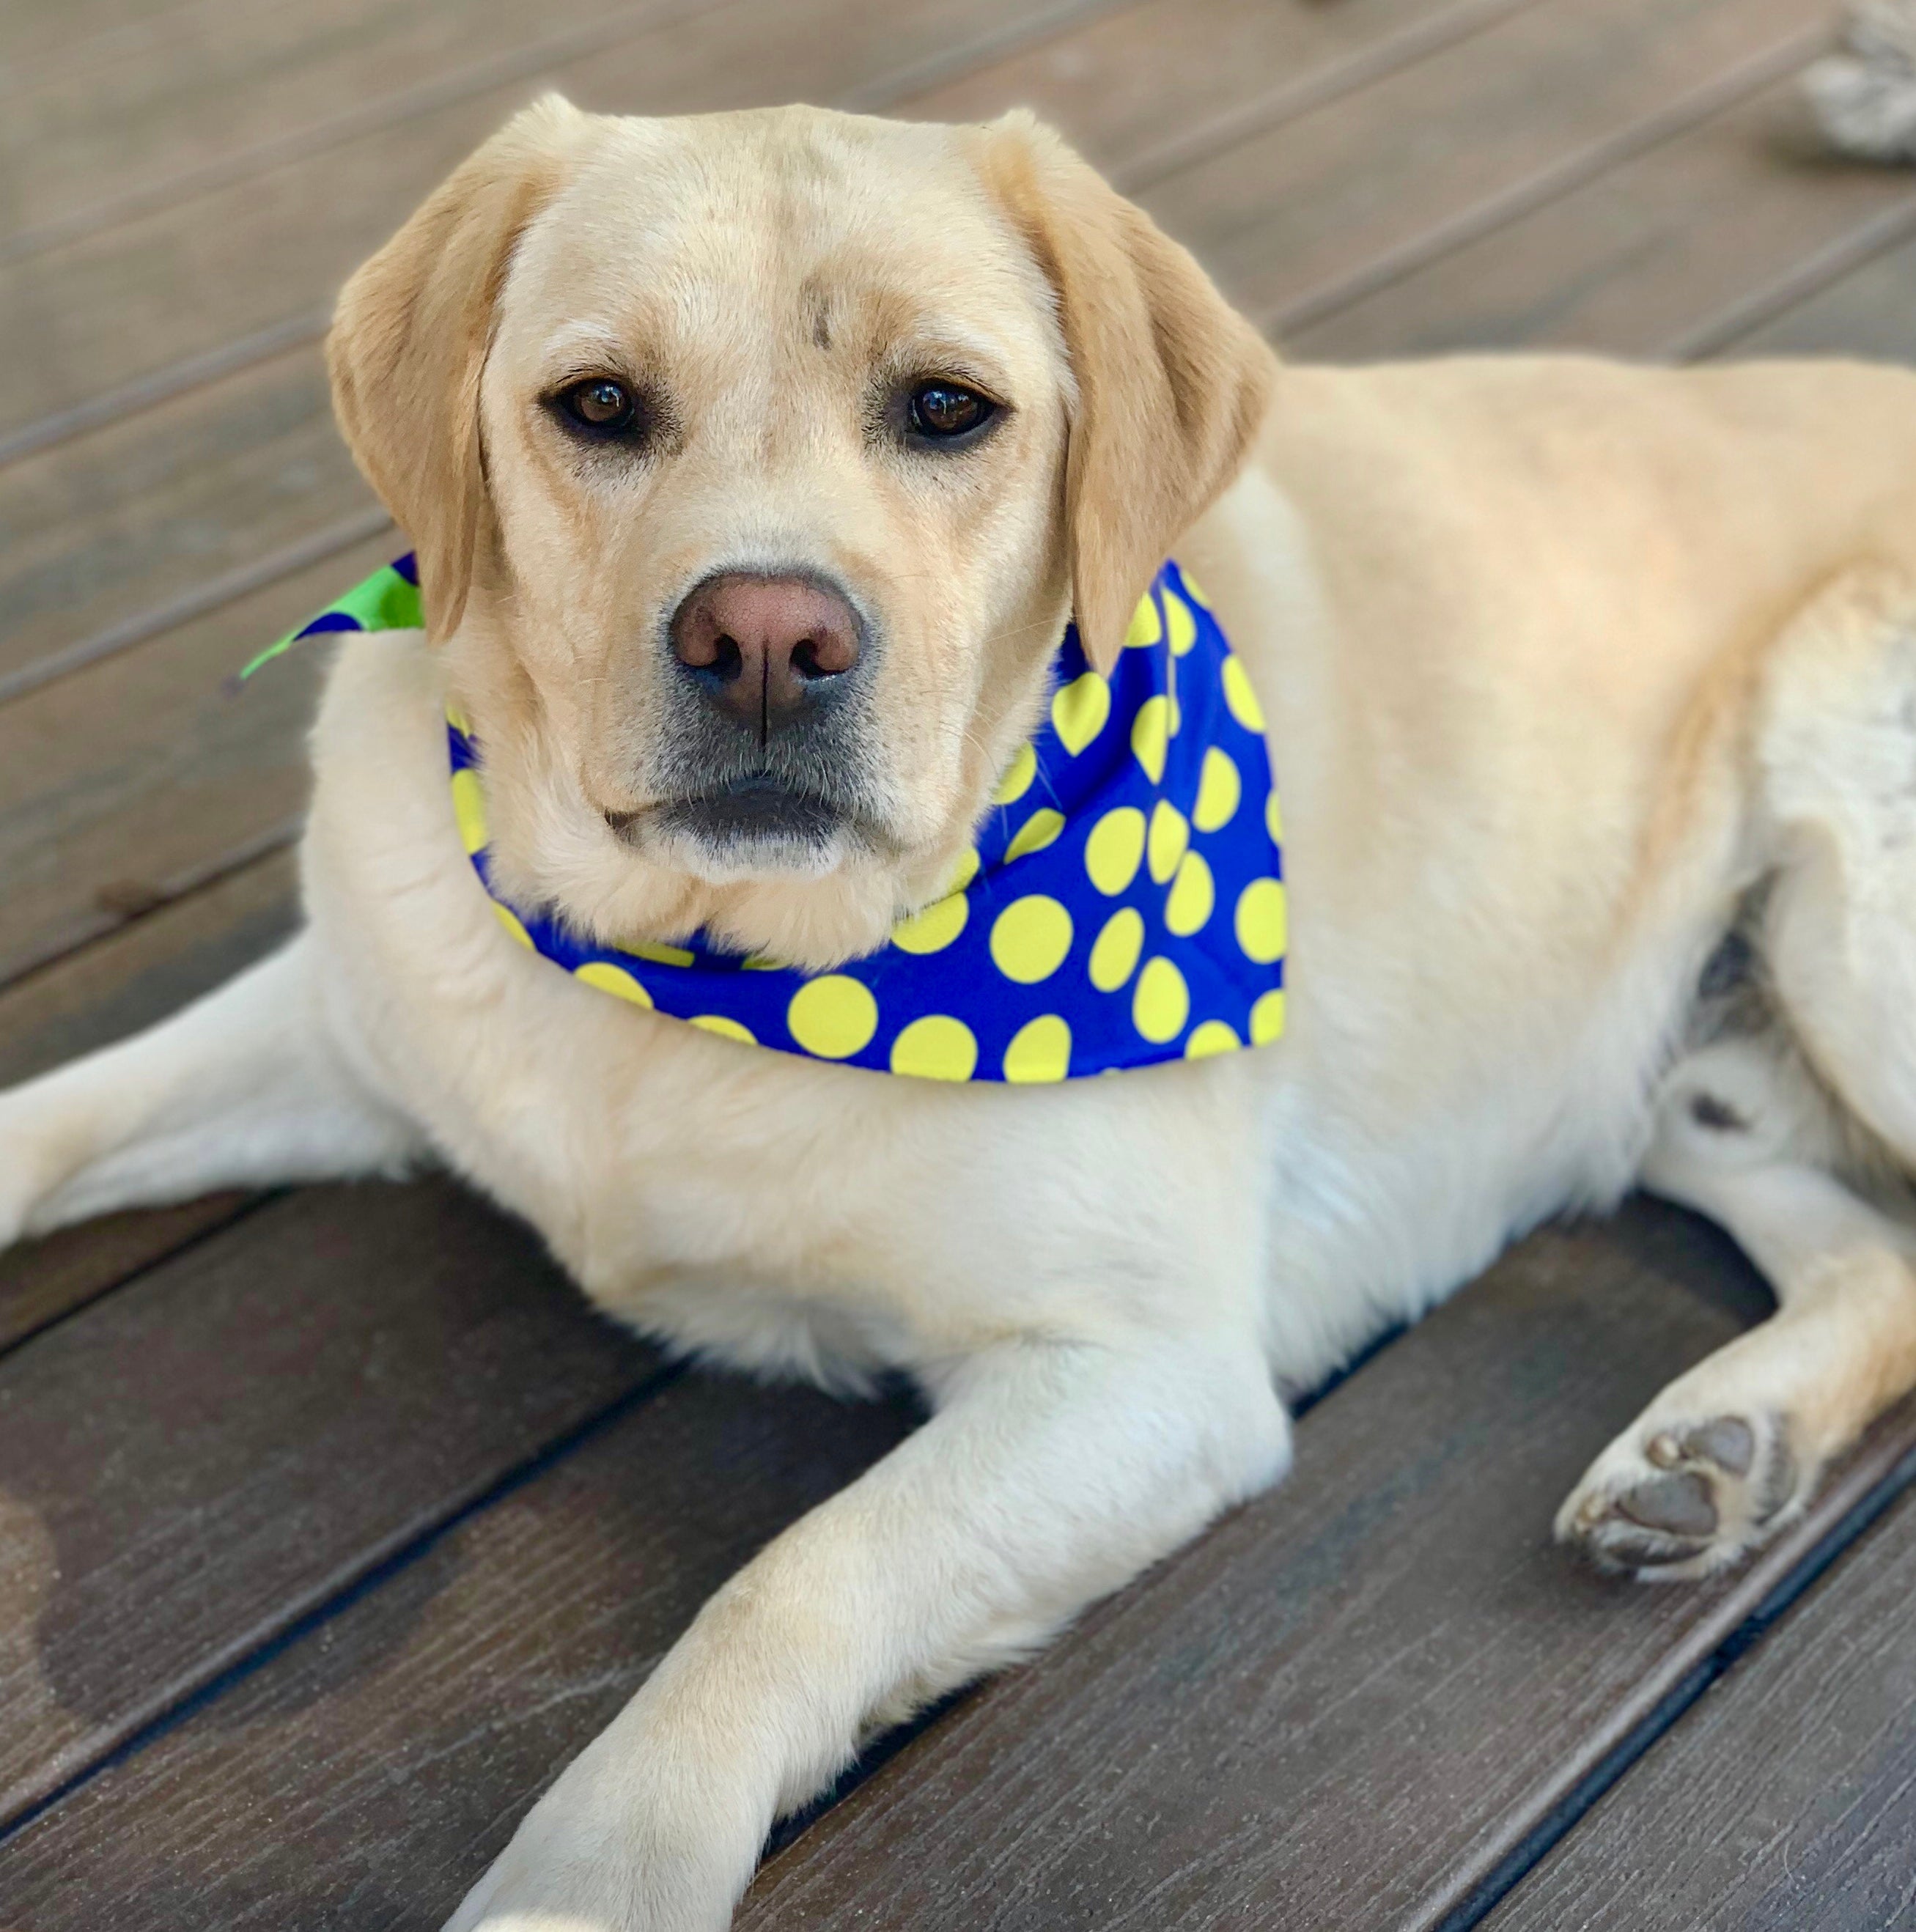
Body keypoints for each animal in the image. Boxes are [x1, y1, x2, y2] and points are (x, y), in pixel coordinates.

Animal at [4, 102, 1916, 1932]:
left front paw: (589, 1881)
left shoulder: (1143, 1371)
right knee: (1877, 1256)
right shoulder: (355, 1012)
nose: (764, 637)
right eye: (597, 404)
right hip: (1693, 1070)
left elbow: (788, 1584)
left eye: (945, 409)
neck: (710, 974)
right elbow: (55, 1116)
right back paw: (1719, 1448)